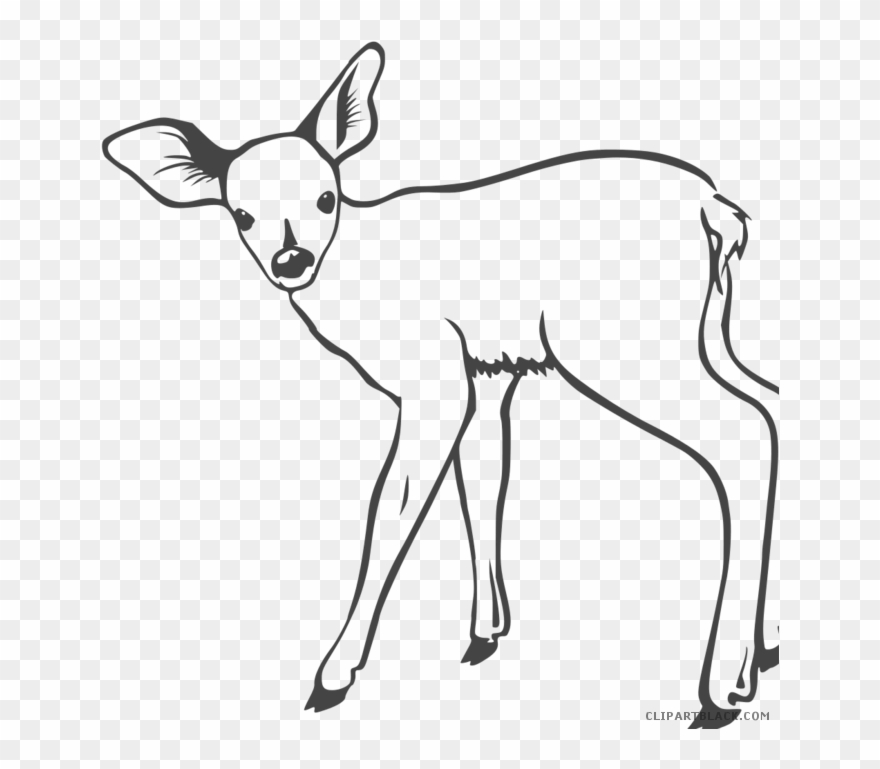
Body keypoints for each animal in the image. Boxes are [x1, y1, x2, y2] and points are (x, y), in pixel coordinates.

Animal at [103, 42, 779, 727]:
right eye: (241, 214)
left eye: (326, 198)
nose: (291, 261)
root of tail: (715, 211)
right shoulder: (488, 370)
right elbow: (481, 481)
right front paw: (486, 631)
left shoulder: (433, 377)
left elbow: (392, 507)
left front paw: (333, 674)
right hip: (704, 333)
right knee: (771, 398)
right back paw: (765, 648)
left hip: (622, 341)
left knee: (743, 432)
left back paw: (722, 688)